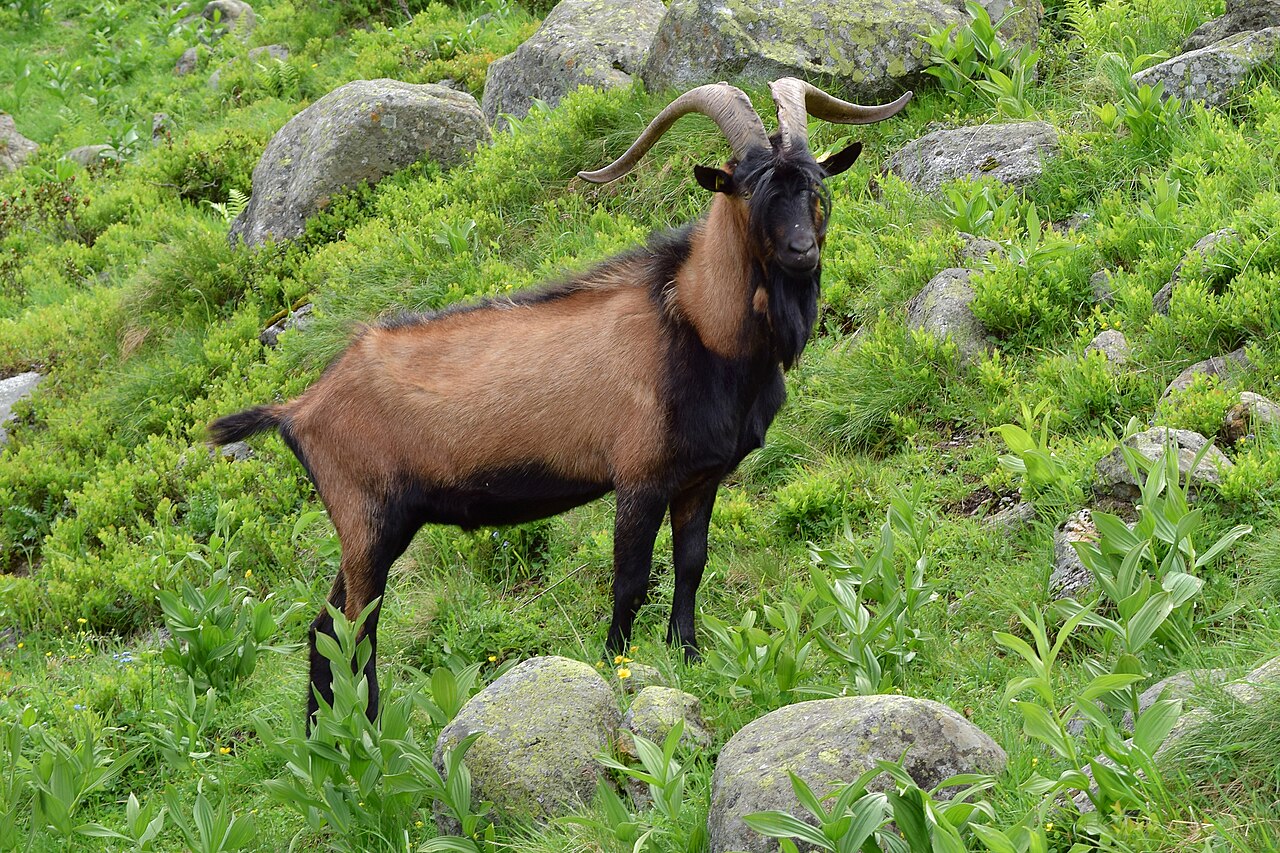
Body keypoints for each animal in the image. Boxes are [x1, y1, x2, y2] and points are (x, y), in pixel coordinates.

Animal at [208, 78, 911, 722]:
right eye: (750, 191)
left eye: (813, 187)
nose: (801, 252)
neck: (695, 324)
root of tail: (299, 409)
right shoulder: (639, 476)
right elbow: (630, 580)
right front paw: (616, 666)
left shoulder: (699, 477)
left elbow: (691, 564)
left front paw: (687, 656)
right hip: (367, 519)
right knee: (353, 629)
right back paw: (366, 730)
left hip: (376, 524)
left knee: (326, 627)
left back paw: (327, 735)